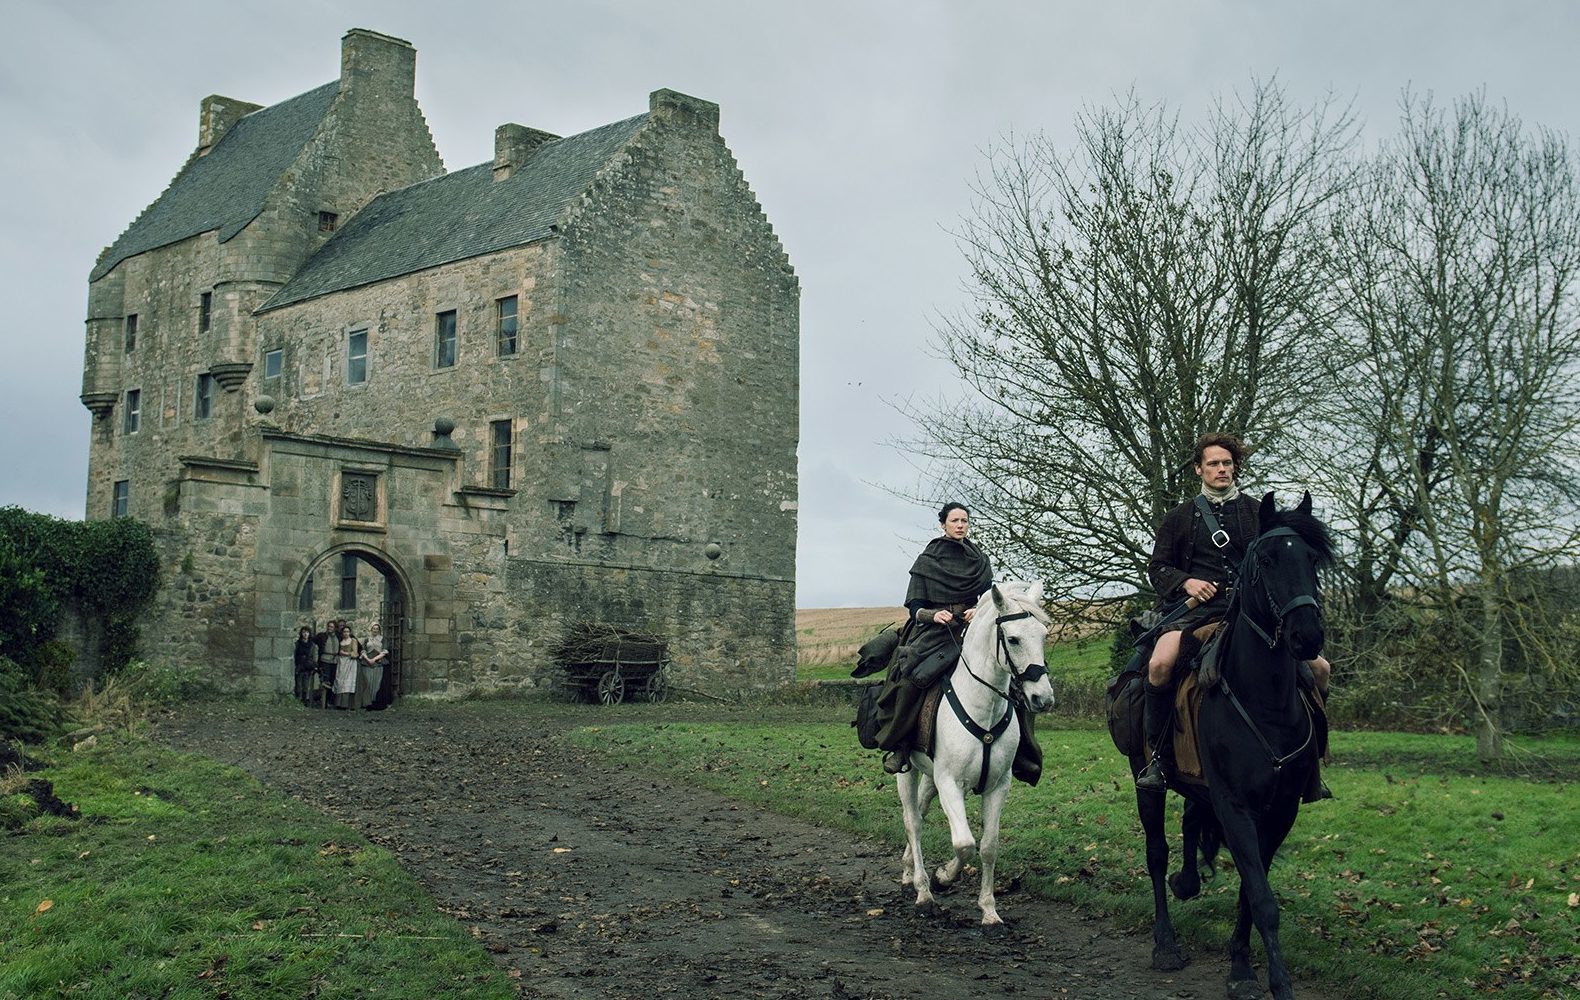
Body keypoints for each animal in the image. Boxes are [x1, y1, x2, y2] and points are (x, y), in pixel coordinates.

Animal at [897, 581, 1055, 922]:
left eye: (1043, 636)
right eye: (1013, 639)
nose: (1043, 699)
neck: (983, 708)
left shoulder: (998, 786)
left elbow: (988, 846)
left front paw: (989, 911)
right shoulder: (949, 783)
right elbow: (964, 843)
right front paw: (942, 878)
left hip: (930, 776)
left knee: (921, 811)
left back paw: (907, 871)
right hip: (908, 771)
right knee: (912, 821)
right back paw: (922, 889)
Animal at [1124, 492, 1333, 998]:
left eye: (1312, 559)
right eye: (1268, 560)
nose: (1307, 637)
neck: (1265, 702)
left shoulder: (1279, 810)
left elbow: (1250, 892)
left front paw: (1240, 966)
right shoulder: (1236, 806)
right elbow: (1262, 897)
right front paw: (1276, 982)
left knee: (1189, 822)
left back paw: (1187, 881)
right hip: (1145, 781)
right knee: (1156, 854)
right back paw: (1166, 943)